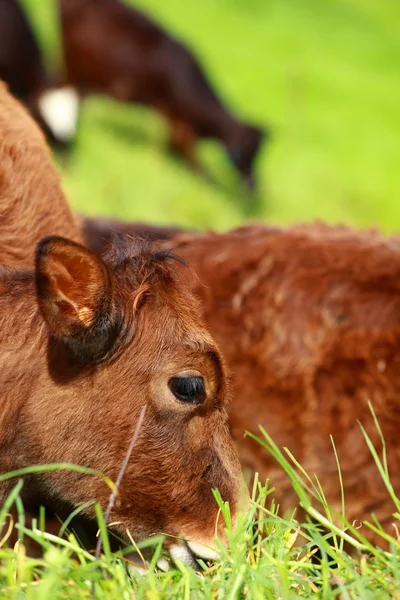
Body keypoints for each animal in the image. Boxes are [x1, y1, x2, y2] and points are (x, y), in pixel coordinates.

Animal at [58, 0, 266, 186]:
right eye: (249, 151)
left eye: (258, 152)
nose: (253, 183)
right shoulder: (180, 119)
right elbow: (190, 153)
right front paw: (205, 178)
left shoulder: (172, 115)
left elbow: (174, 143)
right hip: (74, 66)